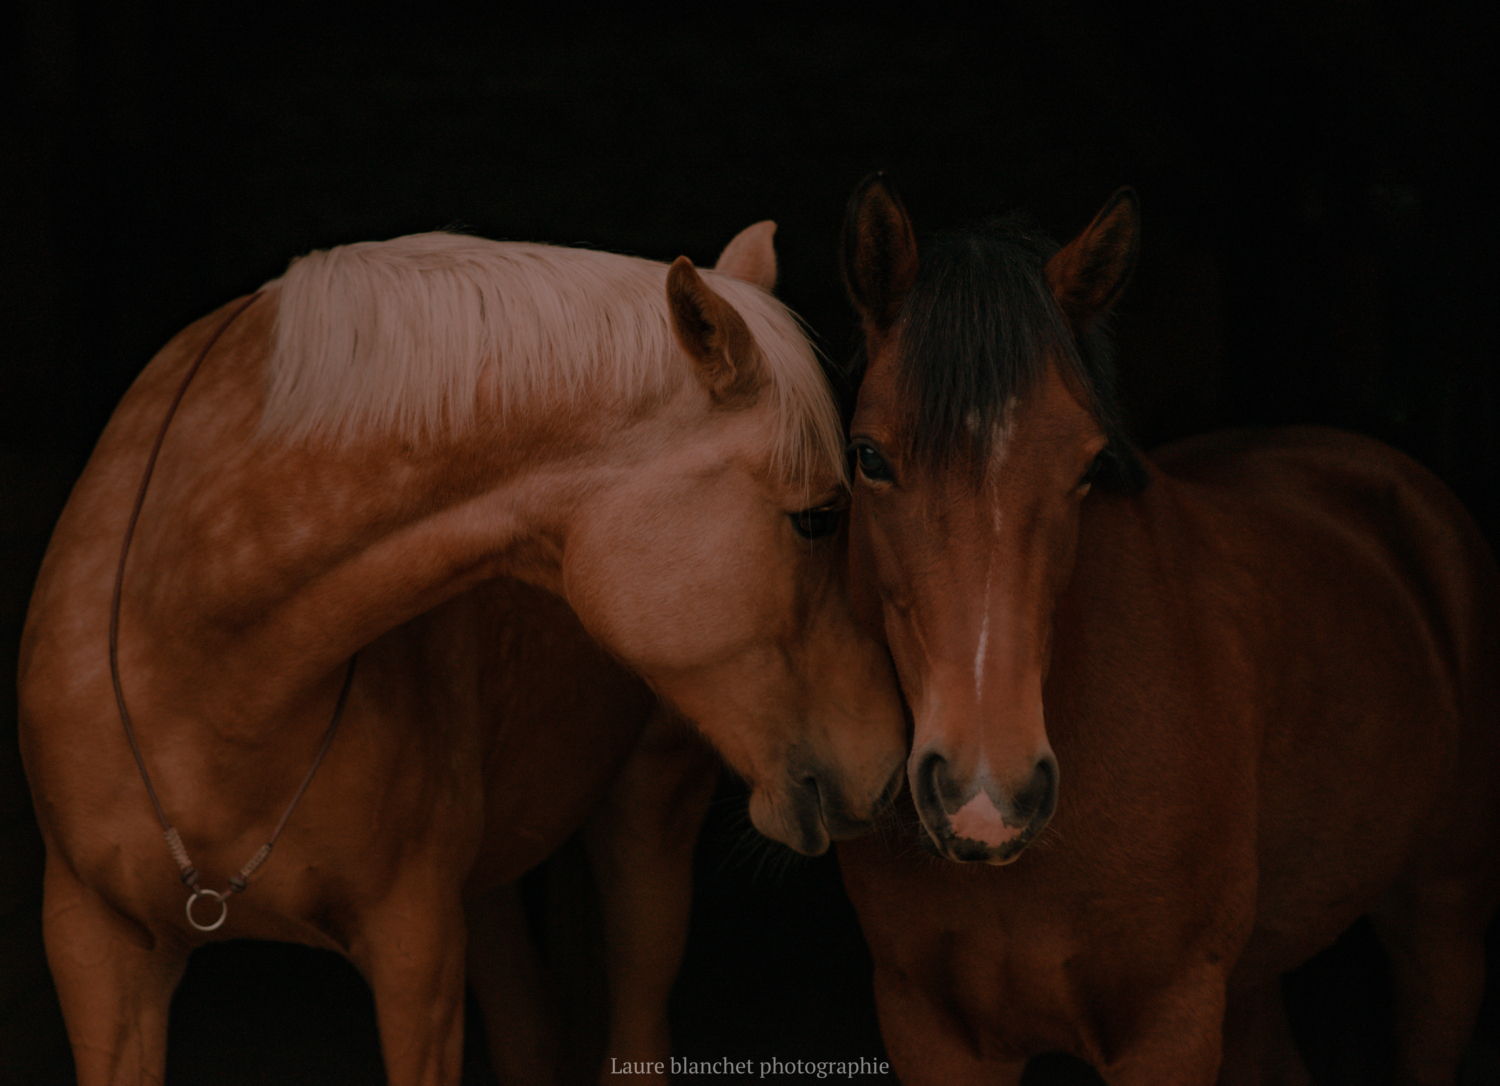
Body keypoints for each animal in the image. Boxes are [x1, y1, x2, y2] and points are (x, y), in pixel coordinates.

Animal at [17, 222, 900, 1086]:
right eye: (819, 517)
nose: (889, 766)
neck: (209, 663)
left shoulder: (417, 957)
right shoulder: (95, 954)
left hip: (647, 826)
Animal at [834, 174, 1500, 1080]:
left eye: (1087, 467)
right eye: (869, 456)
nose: (985, 796)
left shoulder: (1169, 1021)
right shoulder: (929, 1027)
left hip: (1439, 925)